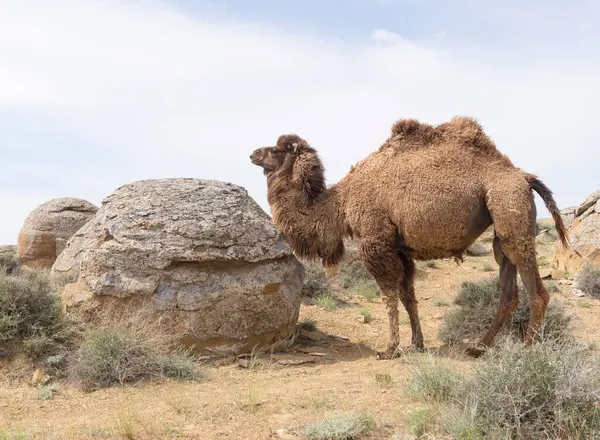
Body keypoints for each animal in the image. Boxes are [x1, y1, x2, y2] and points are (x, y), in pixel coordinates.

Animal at [248, 116, 568, 358]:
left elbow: (388, 294)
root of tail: (524, 177)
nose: (252, 153)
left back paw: (527, 350)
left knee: (537, 292)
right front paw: (417, 344)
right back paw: (479, 347)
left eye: (278, 149)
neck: (341, 204)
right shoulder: (400, 248)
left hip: (509, 208)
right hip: (503, 228)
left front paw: (390, 349)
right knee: (508, 289)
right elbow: (408, 296)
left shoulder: (375, 240)